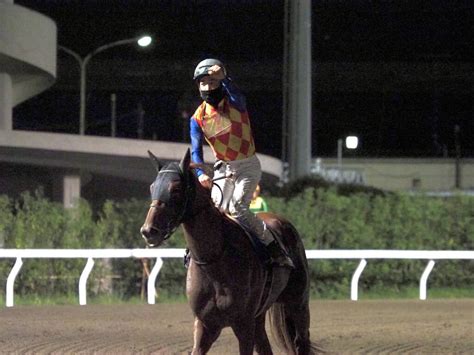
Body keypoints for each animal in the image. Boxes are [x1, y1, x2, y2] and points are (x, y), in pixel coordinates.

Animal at [139, 149, 320, 354]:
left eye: (176, 189)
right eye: (152, 187)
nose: (148, 231)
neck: (214, 260)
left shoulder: (243, 324)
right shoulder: (205, 325)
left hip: (298, 303)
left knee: (301, 339)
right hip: (260, 314)